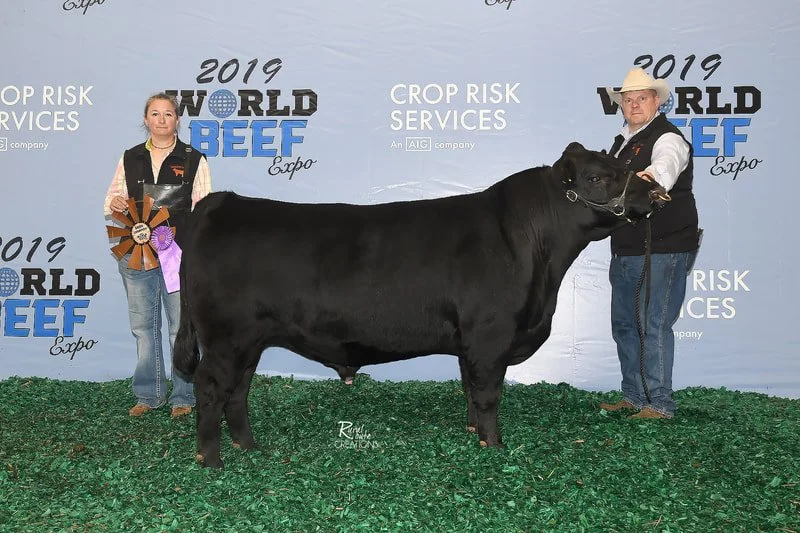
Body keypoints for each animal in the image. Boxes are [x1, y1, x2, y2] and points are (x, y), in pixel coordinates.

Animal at [174, 142, 669, 468]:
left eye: (622, 164)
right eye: (598, 177)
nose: (656, 194)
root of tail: (220, 203)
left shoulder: (471, 343)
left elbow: (470, 387)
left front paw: (473, 433)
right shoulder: (491, 335)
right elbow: (488, 392)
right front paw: (494, 446)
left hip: (249, 340)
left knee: (238, 390)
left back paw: (248, 447)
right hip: (226, 337)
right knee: (210, 387)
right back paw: (211, 460)